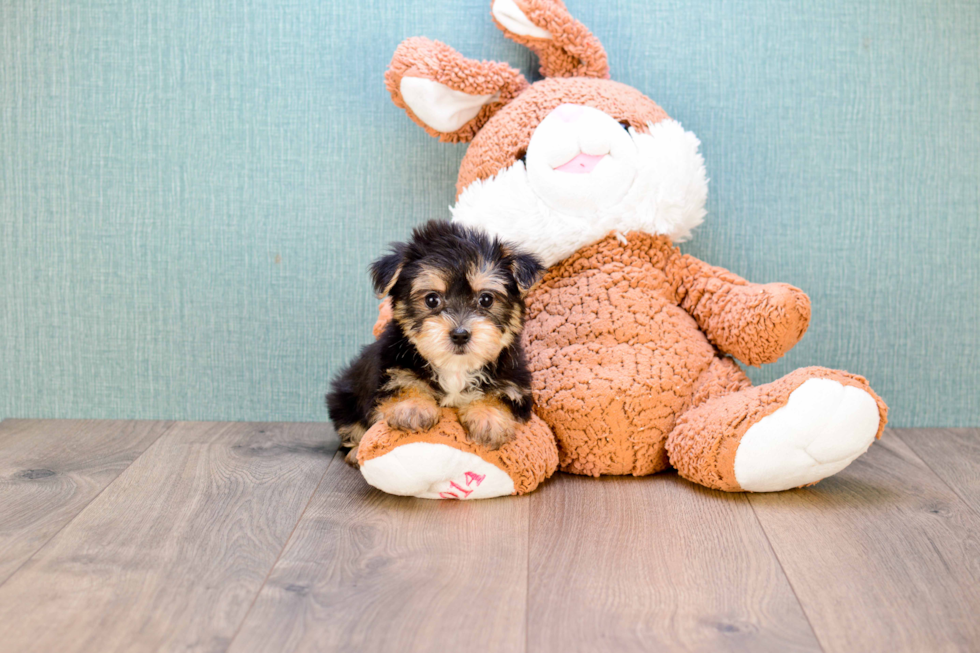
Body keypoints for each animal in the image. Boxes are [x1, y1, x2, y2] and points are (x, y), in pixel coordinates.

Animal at [328, 219, 544, 464]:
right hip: (345, 395)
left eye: (486, 299)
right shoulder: (390, 366)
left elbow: (500, 394)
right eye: (432, 299)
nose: (460, 334)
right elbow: (403, 382)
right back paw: (355, 451)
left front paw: (489, 417)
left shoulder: (514, 379)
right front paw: (413, 407)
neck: (455, 368)